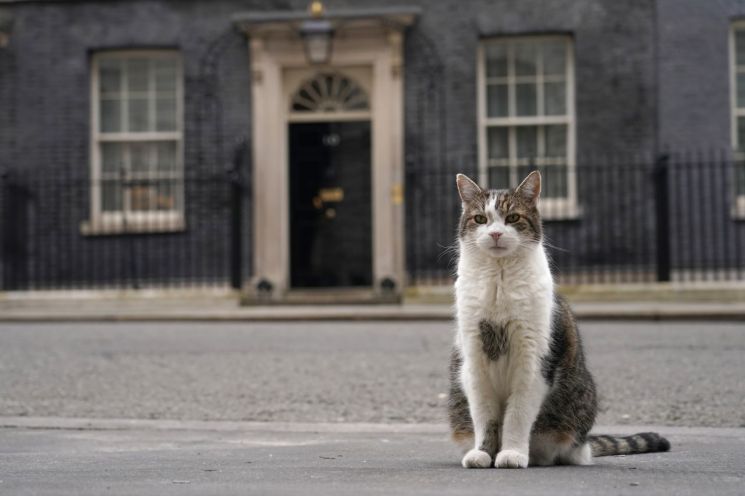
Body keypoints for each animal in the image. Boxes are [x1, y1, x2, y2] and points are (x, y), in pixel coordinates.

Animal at [448, 171, 668, 468]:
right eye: (480, 219)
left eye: (513, 218)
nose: (495, 233)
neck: (499, 280)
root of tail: (585, 444)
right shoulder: (474, 360)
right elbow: (485, 416)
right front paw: (483, 453)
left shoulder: (533, 361)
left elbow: (517, 414)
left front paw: (512, 452)